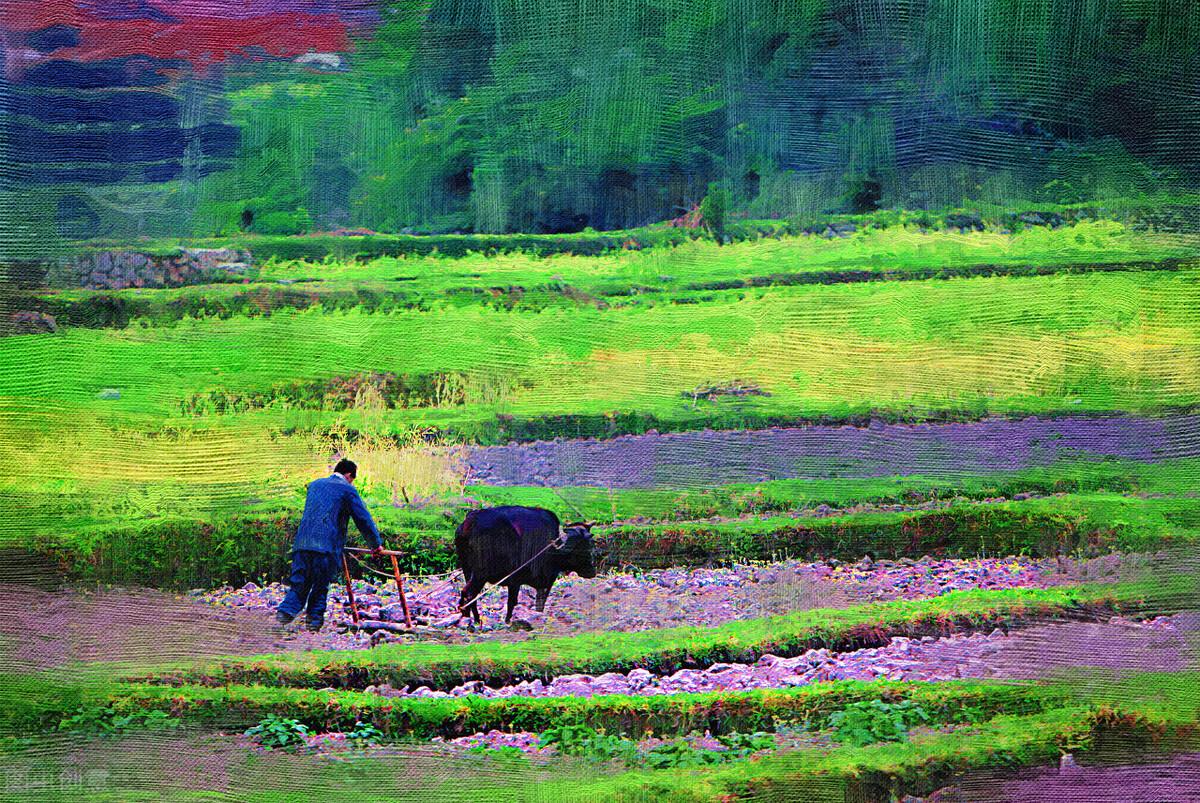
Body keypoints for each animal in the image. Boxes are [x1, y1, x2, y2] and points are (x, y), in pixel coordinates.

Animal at [451, 504, 597, 624]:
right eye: (583, 546)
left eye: (591, 543)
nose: (592, 570)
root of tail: (470, 522)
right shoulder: (519, 581)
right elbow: (513, 603)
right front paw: (508, 621)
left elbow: (537, 604)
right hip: (480, 574)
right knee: (468, 593)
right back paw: (472, 619)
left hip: (467, 570)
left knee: (470, 595)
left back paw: (473, 619)